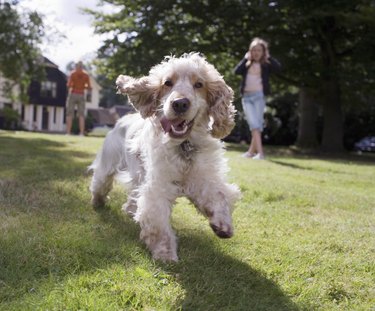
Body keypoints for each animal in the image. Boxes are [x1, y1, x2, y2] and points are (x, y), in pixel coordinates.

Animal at [90, 52, 241, 262]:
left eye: (199, 84)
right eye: (167, 83)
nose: (180, 103)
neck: (184, 145)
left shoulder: (203, 178)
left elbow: (219, 196)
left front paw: (222, 225)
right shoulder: (158, 187)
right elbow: (158, 224)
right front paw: (165, 253)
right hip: (109, 163)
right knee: (100, 182)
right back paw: (98, 202)